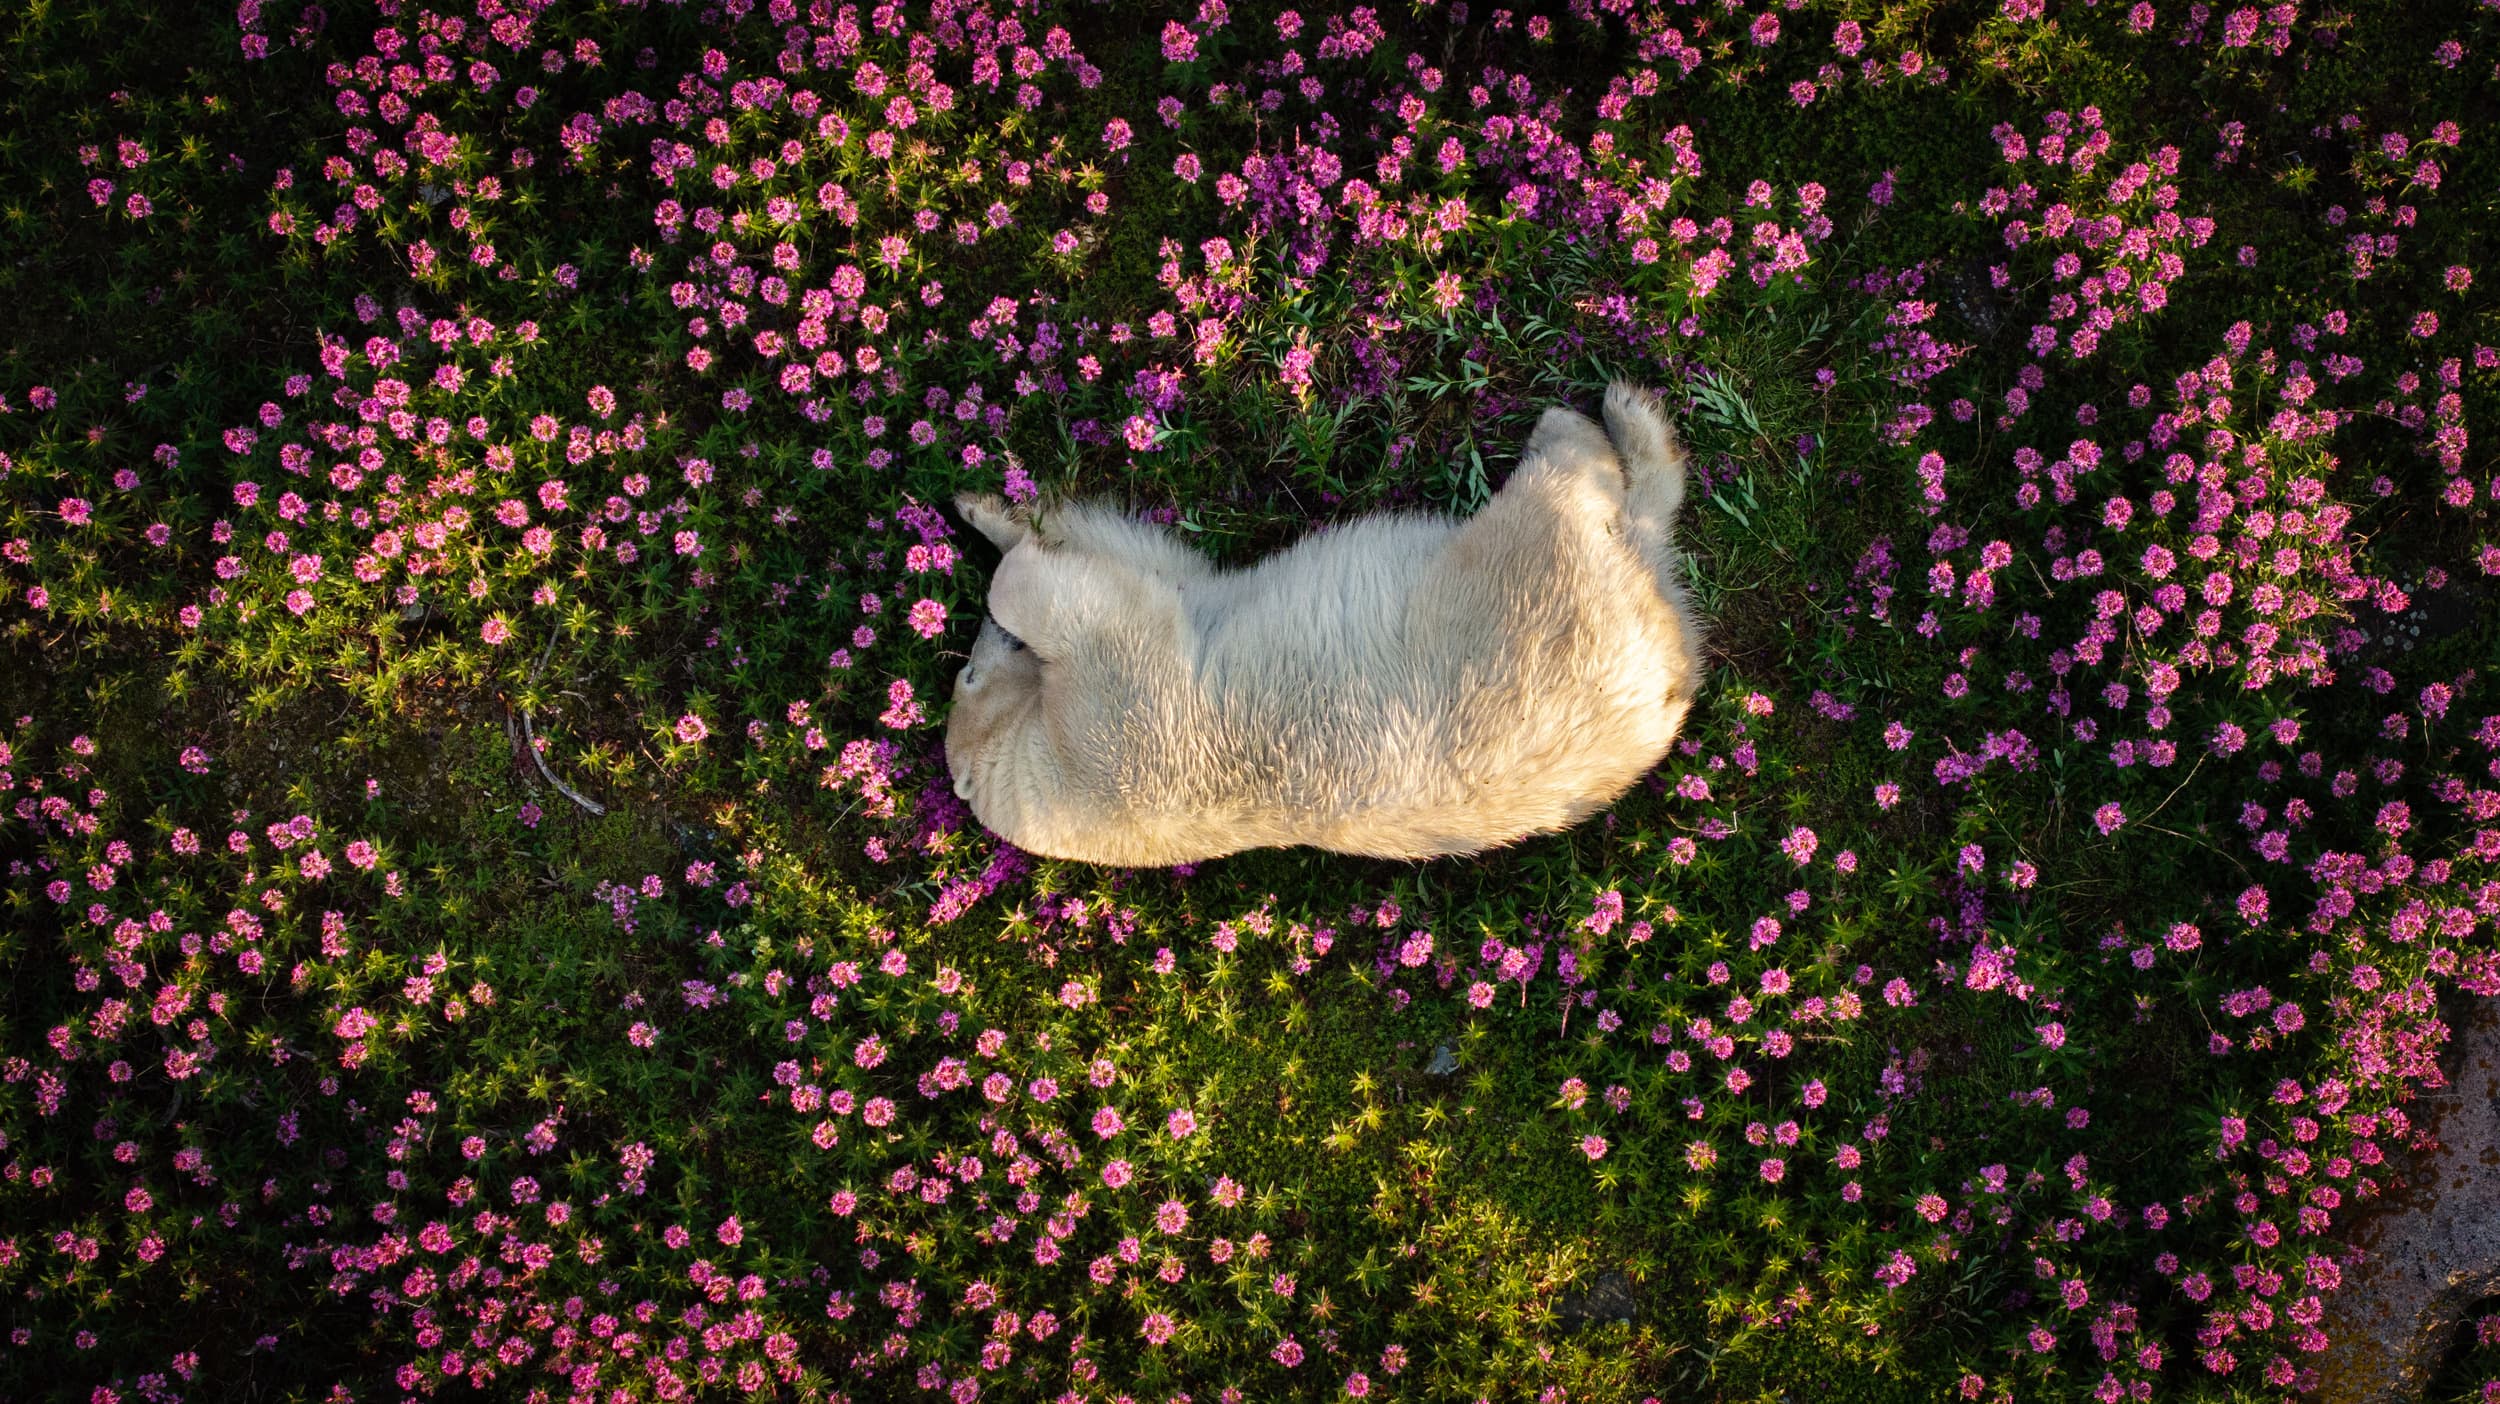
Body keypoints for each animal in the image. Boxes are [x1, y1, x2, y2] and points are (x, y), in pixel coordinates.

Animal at [945, 382, 1710, 864]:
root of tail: (1660, 683)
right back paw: (1594, 422)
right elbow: (1089, 598)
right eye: (969, 674)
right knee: (1573, 499)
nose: (979, 641)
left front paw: (987, 510)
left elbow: (1147, 563)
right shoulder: (1116, 738)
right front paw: (1001, 534)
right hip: (1527, 591)